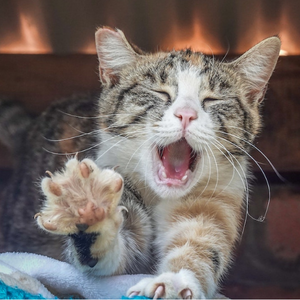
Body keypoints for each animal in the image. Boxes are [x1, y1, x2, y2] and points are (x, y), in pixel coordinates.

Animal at [0, 27, 282, 298]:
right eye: (160, 92)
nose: (186, 114)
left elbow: (199, 247)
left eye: (212, 99)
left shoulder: (216, 198)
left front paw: (174, 281)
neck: (159, 196)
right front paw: (88, 207)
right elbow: (117, 261)